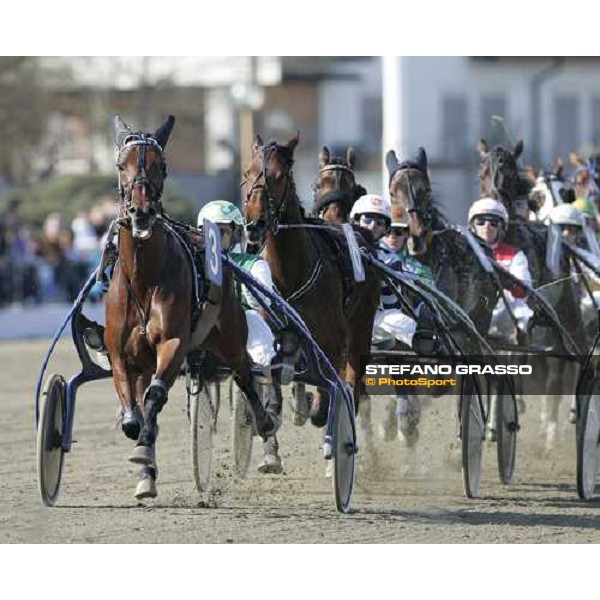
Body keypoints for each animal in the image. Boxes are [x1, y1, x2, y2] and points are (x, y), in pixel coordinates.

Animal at [106, 115, 276, 500]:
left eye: (161, 165)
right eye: (122, 165)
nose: (141, 212)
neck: (144, 277)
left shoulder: (174, 342)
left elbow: (154, 396)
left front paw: (143, 452)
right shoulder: (120, 352)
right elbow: (133, 414)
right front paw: (144, 457)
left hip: (230, 334)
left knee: (245, 374)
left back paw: (264, 424)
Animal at [240, 133, 378, 428]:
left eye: (280, 175)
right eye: (247, 172)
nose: (254, 224)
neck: (290, 277)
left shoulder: (333, 342)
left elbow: (328, 392)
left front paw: (315, 407)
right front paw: (277, 406)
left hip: (362, 324)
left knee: (354, 374)